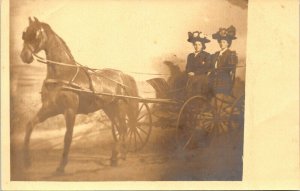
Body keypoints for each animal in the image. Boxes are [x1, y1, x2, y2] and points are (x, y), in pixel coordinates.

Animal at [19, 17, 139, 173]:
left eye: (35, 33)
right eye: (24, 33)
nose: (24, 56)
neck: (62, 74)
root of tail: (122, 75)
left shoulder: (70, 110)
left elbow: (68, 137)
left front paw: (61, 166)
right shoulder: (50, 108)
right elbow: (30, 125)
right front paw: (26, 161)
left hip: (119, 107)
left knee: (124, 128)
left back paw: (117, 156)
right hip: (109, 109)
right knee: (121, 129)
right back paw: (118, 156)